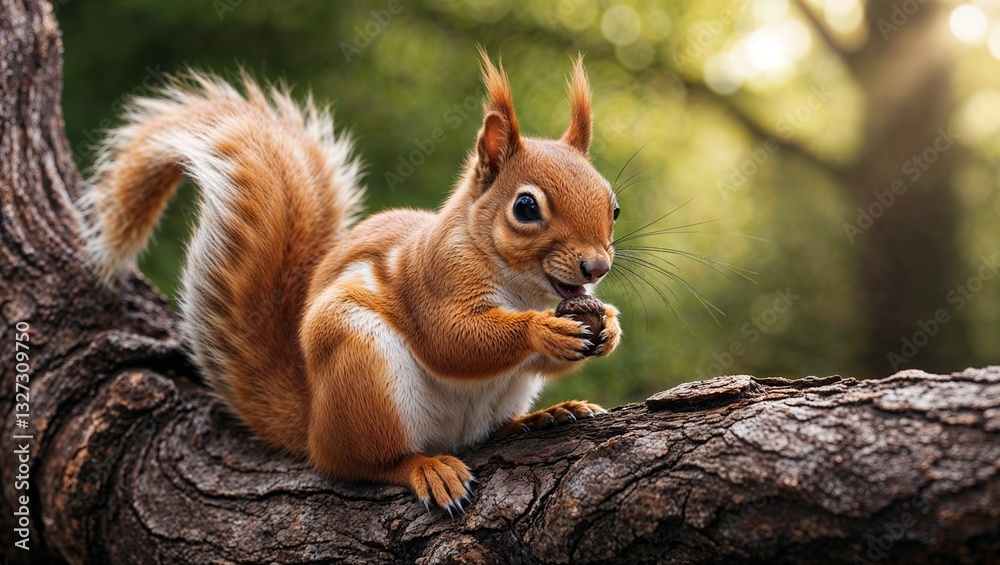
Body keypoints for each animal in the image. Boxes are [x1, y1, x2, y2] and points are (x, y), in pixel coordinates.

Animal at [79, 52, 622, 513]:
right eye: (525, 207)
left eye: (613, 206)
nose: (597, 267)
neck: (521, 286)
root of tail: (312, 424)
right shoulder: (433, 279)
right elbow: (451, 340)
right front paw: (542, 329)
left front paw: (609, 327)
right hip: (358, 362)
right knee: (359, 463)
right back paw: (423, 467)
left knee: (486, 430)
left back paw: (544, 416)